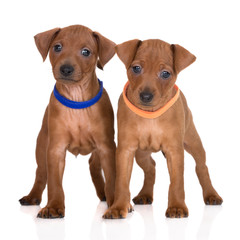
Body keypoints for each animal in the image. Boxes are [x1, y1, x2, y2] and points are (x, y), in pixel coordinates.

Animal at [19, 25, 116, 218]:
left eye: (86, 52)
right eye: (57, 47)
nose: (66, 69)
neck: (76, 98)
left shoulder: (107, 147)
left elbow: (112, 178)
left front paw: (115, 202)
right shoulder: (55, 150)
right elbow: (54, 183)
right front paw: (54, 206)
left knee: (94, 165)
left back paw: (103, 194)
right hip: (42, 145)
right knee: (41, 172)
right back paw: (32, 196)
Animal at [103, 38, 223, 218]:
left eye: (166, 74)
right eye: (136, 68)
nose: (146, 96)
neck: (150, 115)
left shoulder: (175, 151)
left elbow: (177, 183)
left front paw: (177, 207)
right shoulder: (126, 150)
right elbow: (122, 182)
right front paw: (117, 207)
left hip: (193, 142)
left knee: (202, 167)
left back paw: (211, 194)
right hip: (141, 154)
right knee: (151, 167)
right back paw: (145, 194)